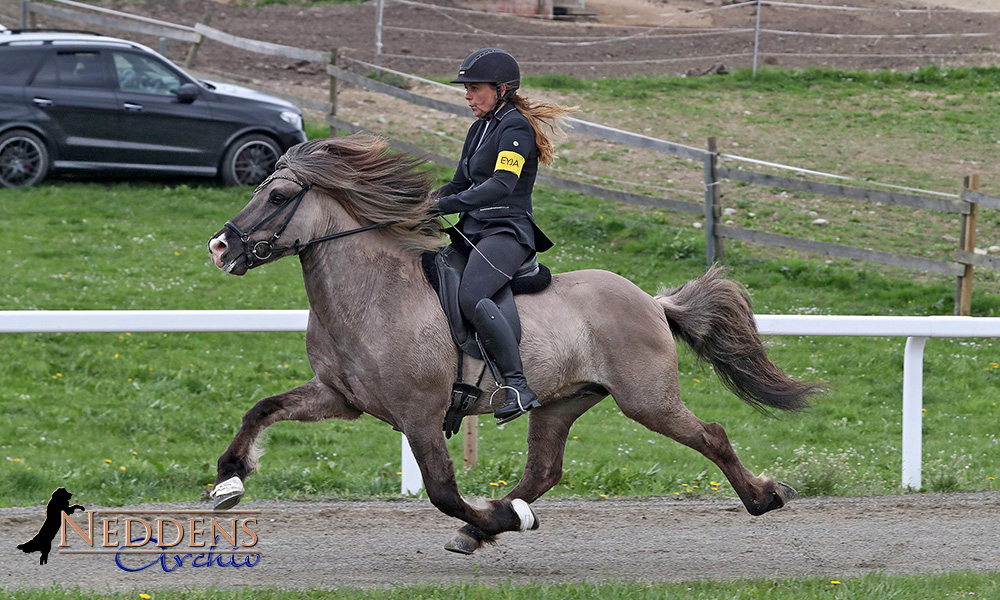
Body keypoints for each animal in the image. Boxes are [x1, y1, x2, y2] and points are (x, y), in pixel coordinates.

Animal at [205, 134, 820, 556]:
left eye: (279, 195)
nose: (219, 247)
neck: (373, 294)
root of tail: (650, 300)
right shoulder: (339, 396)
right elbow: (262, 408)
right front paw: (229, 479)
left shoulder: (419, 414)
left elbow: (442, 491)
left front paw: (498, 522)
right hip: (561, 403)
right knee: (544, 471)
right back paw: (495, 518)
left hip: (646, 399)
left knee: (710, 435)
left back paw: (765, 497)